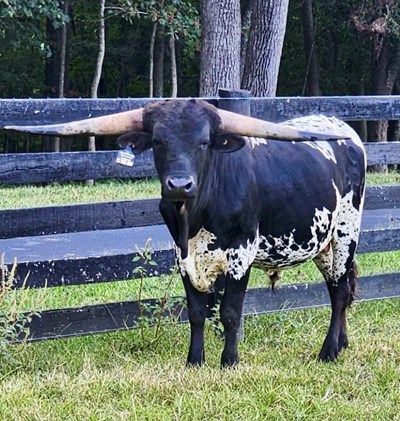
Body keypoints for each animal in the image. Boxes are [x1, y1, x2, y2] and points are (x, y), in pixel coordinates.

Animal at [6, 99, 366, 367]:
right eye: (158, 142)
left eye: (204, 142)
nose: (179, 185)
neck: (194, 217)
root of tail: (344, 130)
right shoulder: (183, 256)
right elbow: (195, 311)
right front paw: (195, 360)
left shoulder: (241, 254)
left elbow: (230, 313)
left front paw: (229, 361)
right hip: (323, 245)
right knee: (342, 288)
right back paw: (343, 344)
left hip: (345, 234)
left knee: (338, 292)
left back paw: (328, 352)